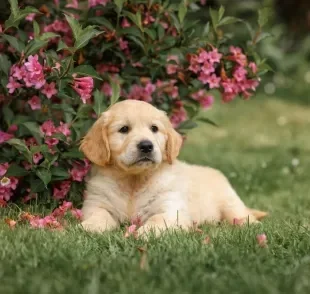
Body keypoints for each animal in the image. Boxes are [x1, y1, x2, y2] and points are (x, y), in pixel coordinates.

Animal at [80, 100, 266, 235]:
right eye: (124, 129)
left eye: (154, 128)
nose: (146, 146)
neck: (134, 181)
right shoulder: (96, 202)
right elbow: (99, 215)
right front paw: (89, 227)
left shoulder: (170, 209)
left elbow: (156, 220)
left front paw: (142, 233)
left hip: (229, 201)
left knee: (242, 215)